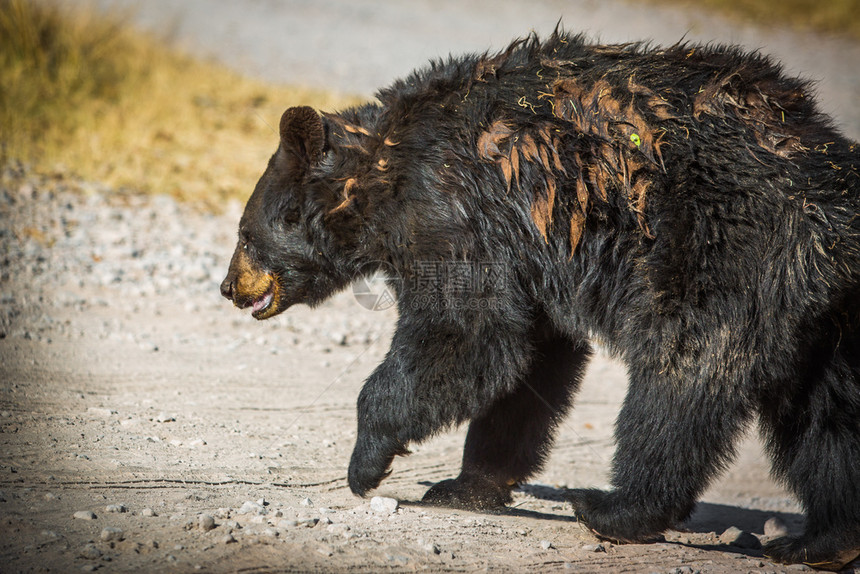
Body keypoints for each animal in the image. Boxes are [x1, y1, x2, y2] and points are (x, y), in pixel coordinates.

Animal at [222, 30, 860, 572]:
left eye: (246, 235)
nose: (229, 287)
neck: (380, 174)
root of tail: (831, 200)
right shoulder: (527, 255)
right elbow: (530, 360)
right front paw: (465, 486)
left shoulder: (452, 208)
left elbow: (465, 332)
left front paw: (367, 463)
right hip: (828, 314)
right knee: (829, 417)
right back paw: (822, 539)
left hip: (720, 251)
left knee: (679, 379)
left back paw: (617, 509)